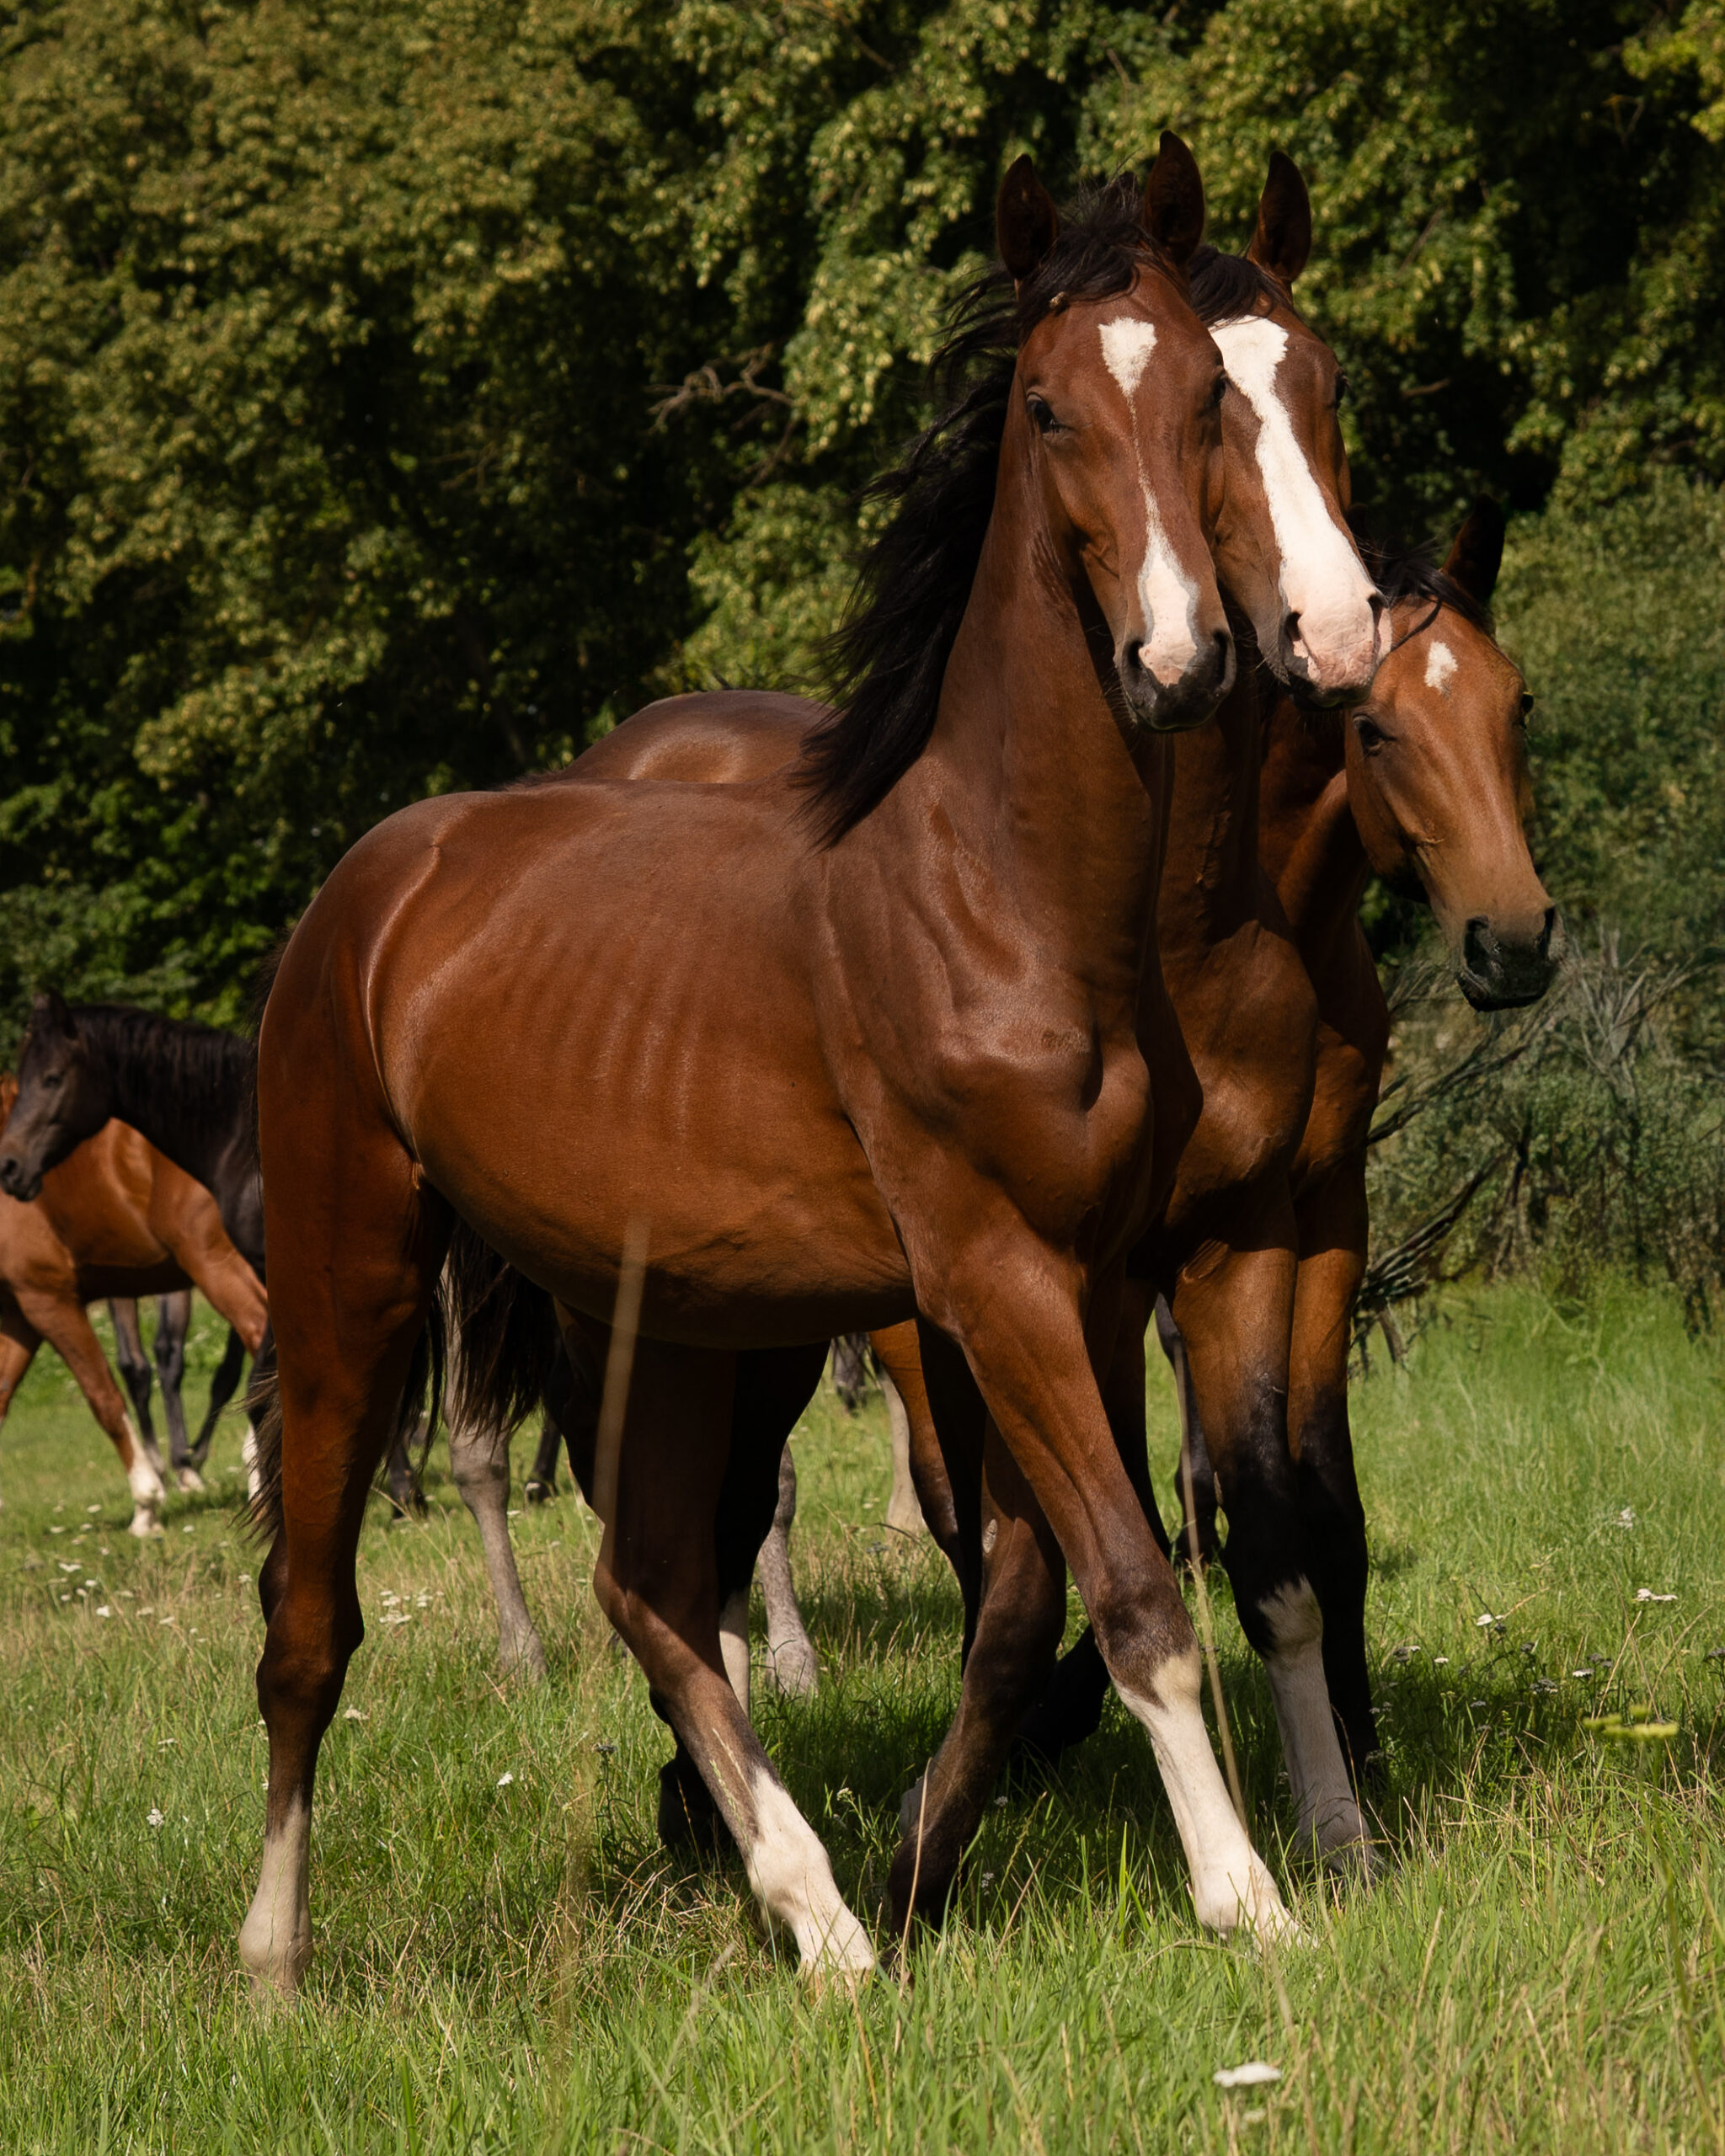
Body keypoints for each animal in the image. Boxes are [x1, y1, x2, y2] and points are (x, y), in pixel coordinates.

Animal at [231, 138, 1351, 1996]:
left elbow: (1041, 1586)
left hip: (666, 1323)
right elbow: (1131, 1589)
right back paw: (270, 1951)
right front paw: (1246, 1899)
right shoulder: (989, 1279)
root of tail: (374, 885)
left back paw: (817, 1916)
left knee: (647, 1583)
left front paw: (918, 1876)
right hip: (352, 1292)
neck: (998, 891)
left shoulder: (1100, 1280)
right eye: (1046, 407)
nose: (1183, 660)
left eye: (1210, 395)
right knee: (312, 1622)